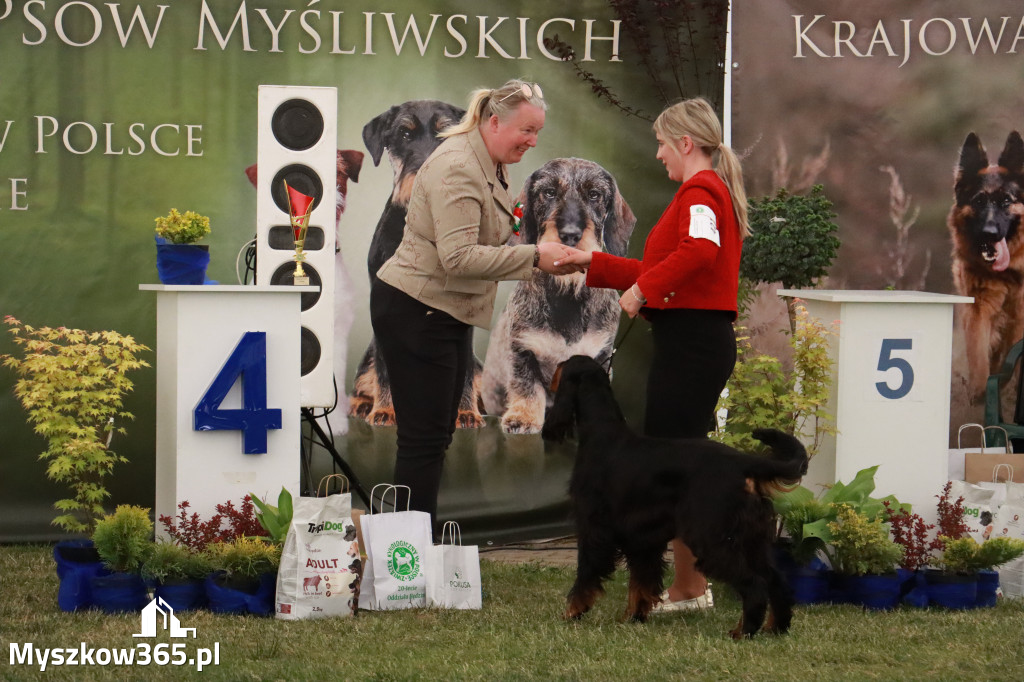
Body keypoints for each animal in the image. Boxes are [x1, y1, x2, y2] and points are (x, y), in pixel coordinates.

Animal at [544, 352, 806, 634]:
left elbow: (586, 575)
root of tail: (744, 462)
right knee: (775, 579)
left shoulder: (594, 529)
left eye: (562, 366)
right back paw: (775, 627)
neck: (602, 433)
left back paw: (742, 632)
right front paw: (633, 618)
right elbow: (641, 583)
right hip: (751, 538)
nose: (550, 374)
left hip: (712, 538)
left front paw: (572, 613)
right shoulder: (642, 539)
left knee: (754, 584)